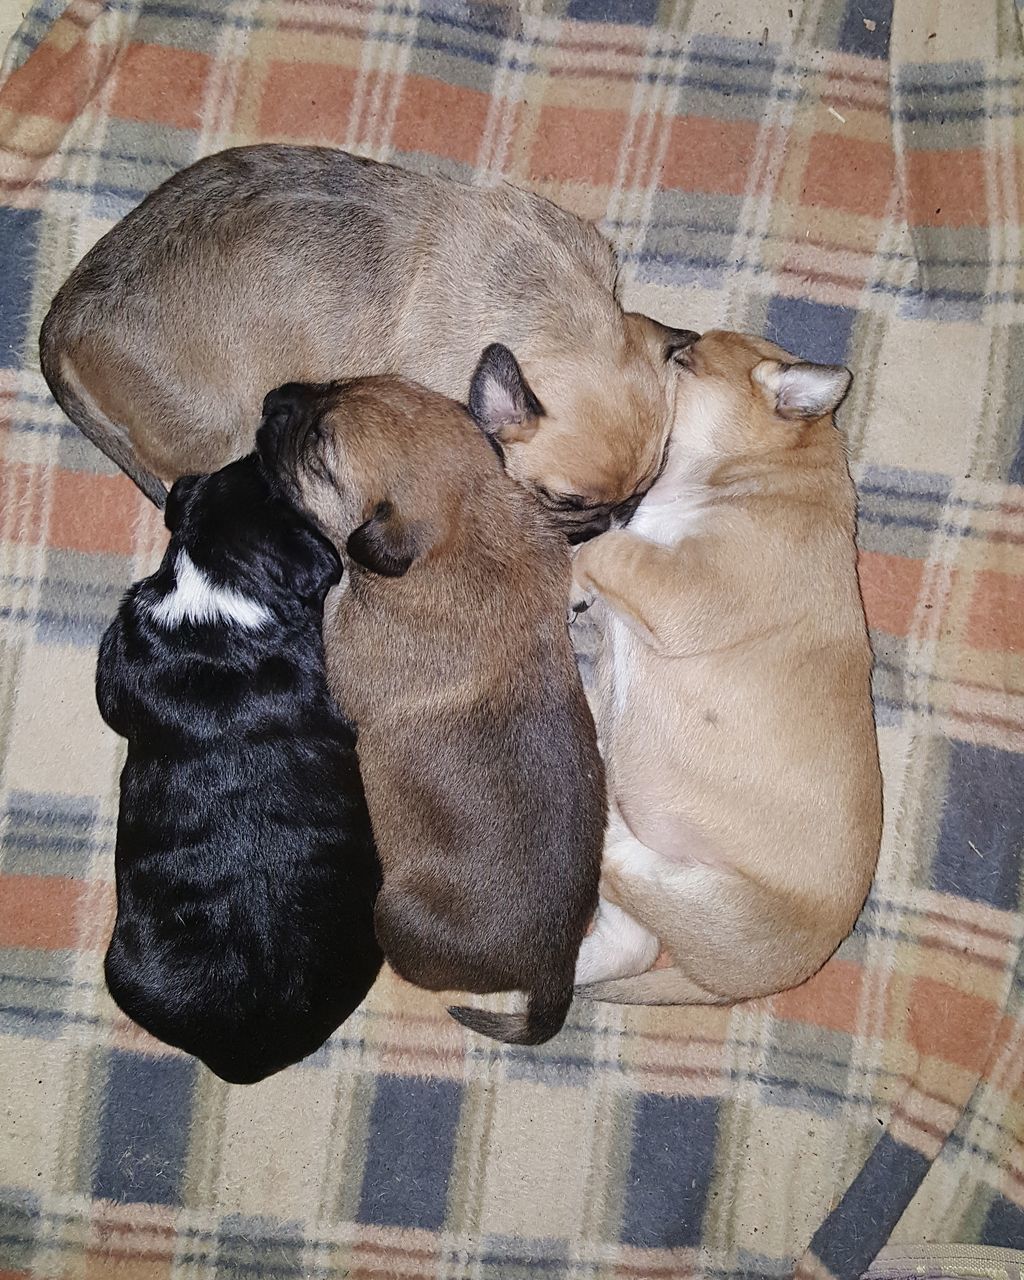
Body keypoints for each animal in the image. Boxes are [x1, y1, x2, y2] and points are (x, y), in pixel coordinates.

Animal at [40, 142, 686, 532]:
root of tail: (64, 322)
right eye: (564, 502)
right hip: (224, 433)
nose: (614, 521)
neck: (550, 318)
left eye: (648, 484)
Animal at [568, 327, 880, 998]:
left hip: (702, 893)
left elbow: (609, 544)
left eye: (683, 362)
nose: (671, 340)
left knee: (623, 870)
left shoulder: (685, 584)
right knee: (625, 944)